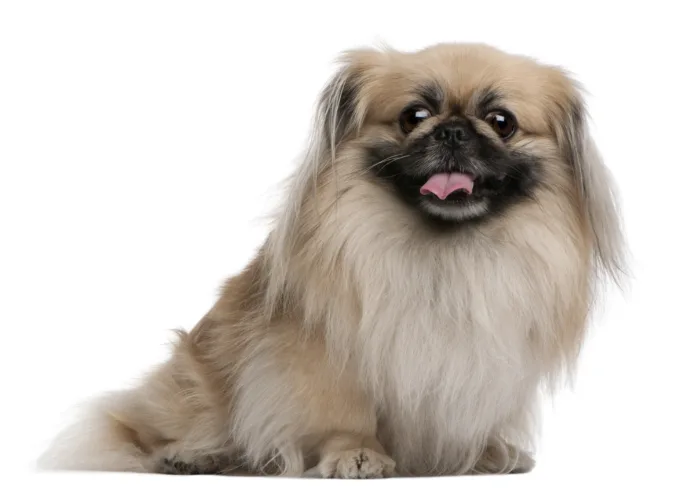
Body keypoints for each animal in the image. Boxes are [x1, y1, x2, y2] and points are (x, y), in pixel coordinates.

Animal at [38, 43, 624, 476]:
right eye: (414, 116)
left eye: (501, 122)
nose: (453, 130)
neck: (444, 250)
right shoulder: (321, 349)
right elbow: (341, 410)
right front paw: (355, 453)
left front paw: (485, 452)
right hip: (194, 381)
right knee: (144, 430)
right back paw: (191, 454)